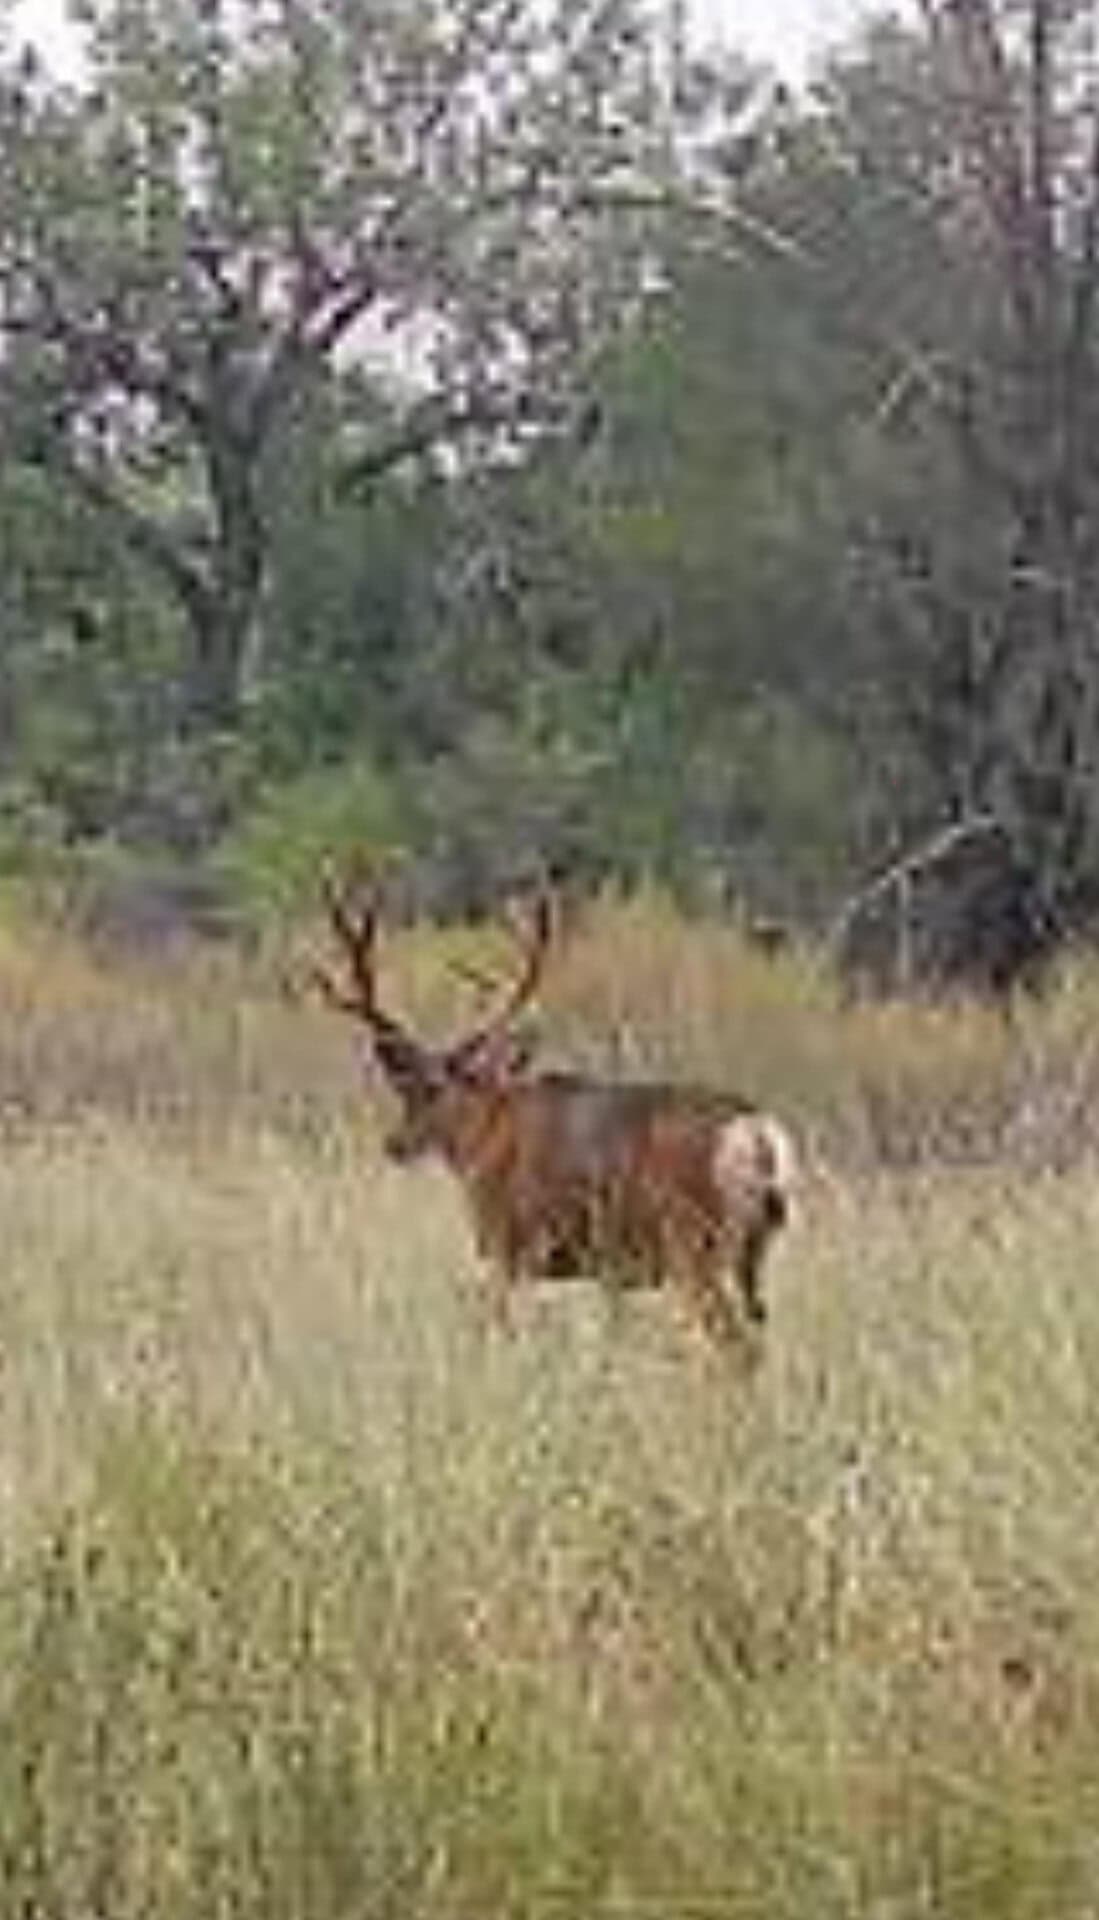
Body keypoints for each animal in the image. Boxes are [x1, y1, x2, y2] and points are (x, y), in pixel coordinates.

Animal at [311, 870, 796, 1356]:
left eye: (428, 1089)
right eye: (402, 1089)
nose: (394, 1144)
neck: (484, 1139)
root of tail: (758, 1132)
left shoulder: (511, 1247)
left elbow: (495, 1327)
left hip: (693, 1244)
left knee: (737, 1348)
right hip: (749, 1248)